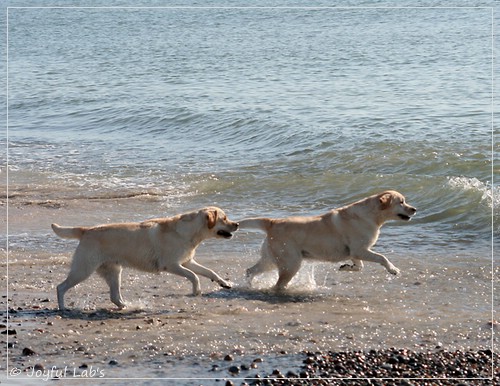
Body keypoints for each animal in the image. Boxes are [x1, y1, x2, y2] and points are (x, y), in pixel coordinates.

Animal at [51, 207, 239, 310]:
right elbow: (194, 276)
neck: (189, 232)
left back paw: (126, 306)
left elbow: (209, 271)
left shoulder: (187, 261)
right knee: (60, 287)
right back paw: (62, 307)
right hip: (83, 269)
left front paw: (225, 283)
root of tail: (85, 230)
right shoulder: (171, 265)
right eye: (224, 218)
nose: (237, 224)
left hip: (114, 272)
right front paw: (197, 291)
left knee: (114, 296)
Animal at [238, 190, 414, 290]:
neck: (371, 215)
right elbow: (382, 257)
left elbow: (359, 266)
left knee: (249, 271)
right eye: (402, 202)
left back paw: (250, 285)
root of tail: (272, 222)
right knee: (279, 283)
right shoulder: (360, 250)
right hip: (290, 263)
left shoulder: (355, 252)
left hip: (270, 260)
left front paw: (346, 267)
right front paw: (393, 269)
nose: (415, 209)